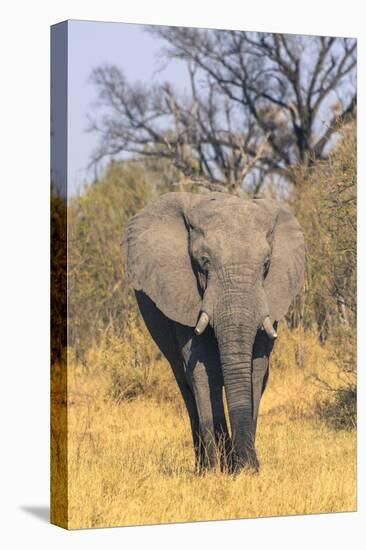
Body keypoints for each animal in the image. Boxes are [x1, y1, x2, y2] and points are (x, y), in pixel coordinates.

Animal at [124, 192, 304, 472]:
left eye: (265, 264)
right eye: (204, 262)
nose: (246, 465)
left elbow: (256, 367)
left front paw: (245, 469)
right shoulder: (183, 295)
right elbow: (200, 365)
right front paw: (215, 471)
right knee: (185, 382)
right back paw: (203, 467)